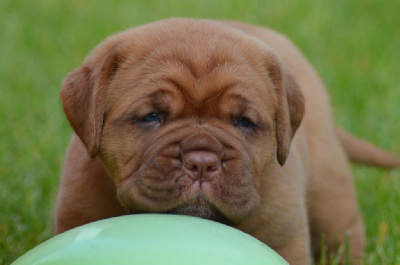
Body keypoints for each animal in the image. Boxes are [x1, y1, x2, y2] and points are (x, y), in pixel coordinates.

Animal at [54, 17, 398, 262]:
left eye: (244, 122)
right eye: (152, 116)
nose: (202, 162)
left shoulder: (286, 238)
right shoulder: (75, 214)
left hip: (331, 199)